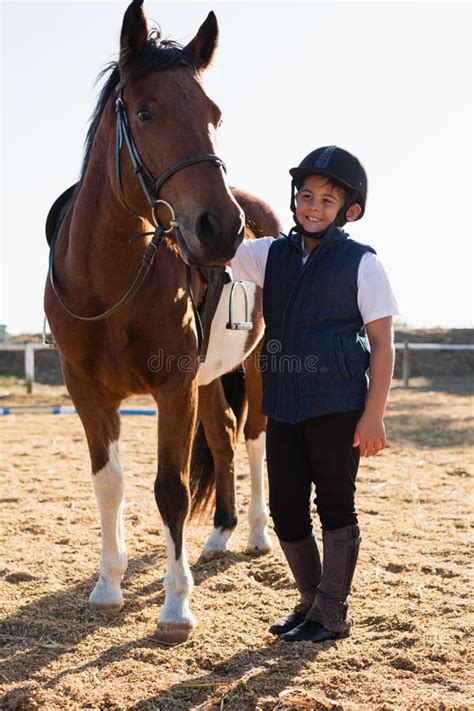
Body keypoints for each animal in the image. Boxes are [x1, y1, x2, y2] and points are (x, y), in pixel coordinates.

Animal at [44, 0, 280, 645]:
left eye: (214, 115)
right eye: (146, 112)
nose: (222, 228)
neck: (109, 280)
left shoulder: (174, 387)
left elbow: (169, 489)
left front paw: (176, 606)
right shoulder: (86, 390)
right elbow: (109, 484)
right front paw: (108, 586)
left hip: (256, 362)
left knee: (254, 436)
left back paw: (256, 533)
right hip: (211, 377)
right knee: (223, 436)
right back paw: (220, 534)